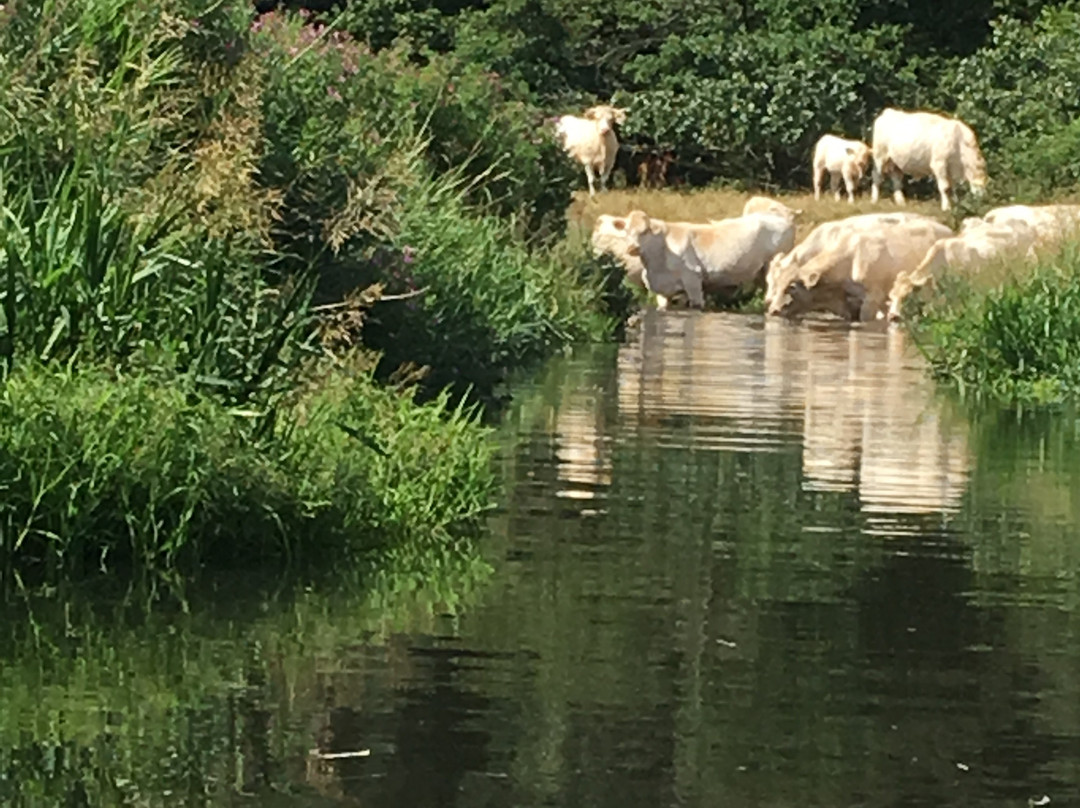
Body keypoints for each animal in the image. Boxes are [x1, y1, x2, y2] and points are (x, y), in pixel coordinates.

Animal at [613, 208, 799, 308]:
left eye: (645, 231)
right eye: (626, 230)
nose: (633, 248)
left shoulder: (692, 279)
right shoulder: (661, 291)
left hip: (772, 264)